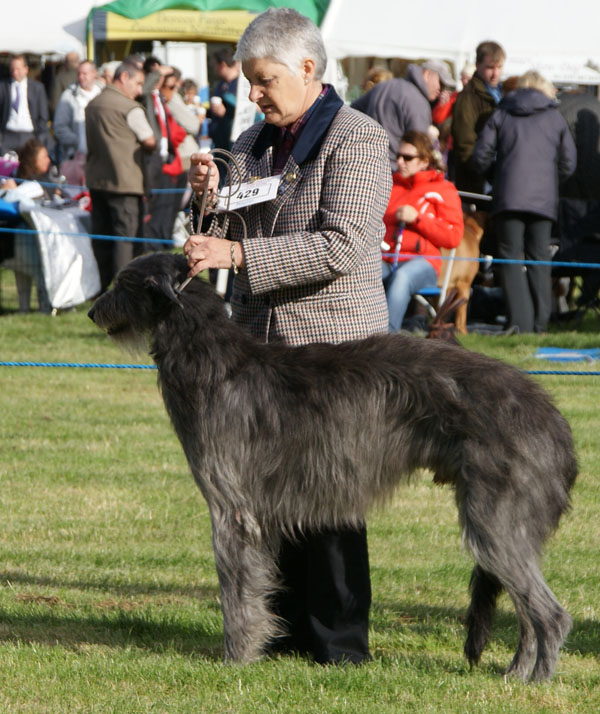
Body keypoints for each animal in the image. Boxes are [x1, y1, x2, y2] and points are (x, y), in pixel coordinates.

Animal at [89, 252, 576, 680]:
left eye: (122, 283)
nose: (93, 311)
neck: (214, 363)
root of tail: (554, 420)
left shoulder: (232, 508)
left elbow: (236, 590)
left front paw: (237, 658)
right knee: (527, 611)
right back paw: (515, 673)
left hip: (495, 519)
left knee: (550, 614)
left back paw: (538, 680)